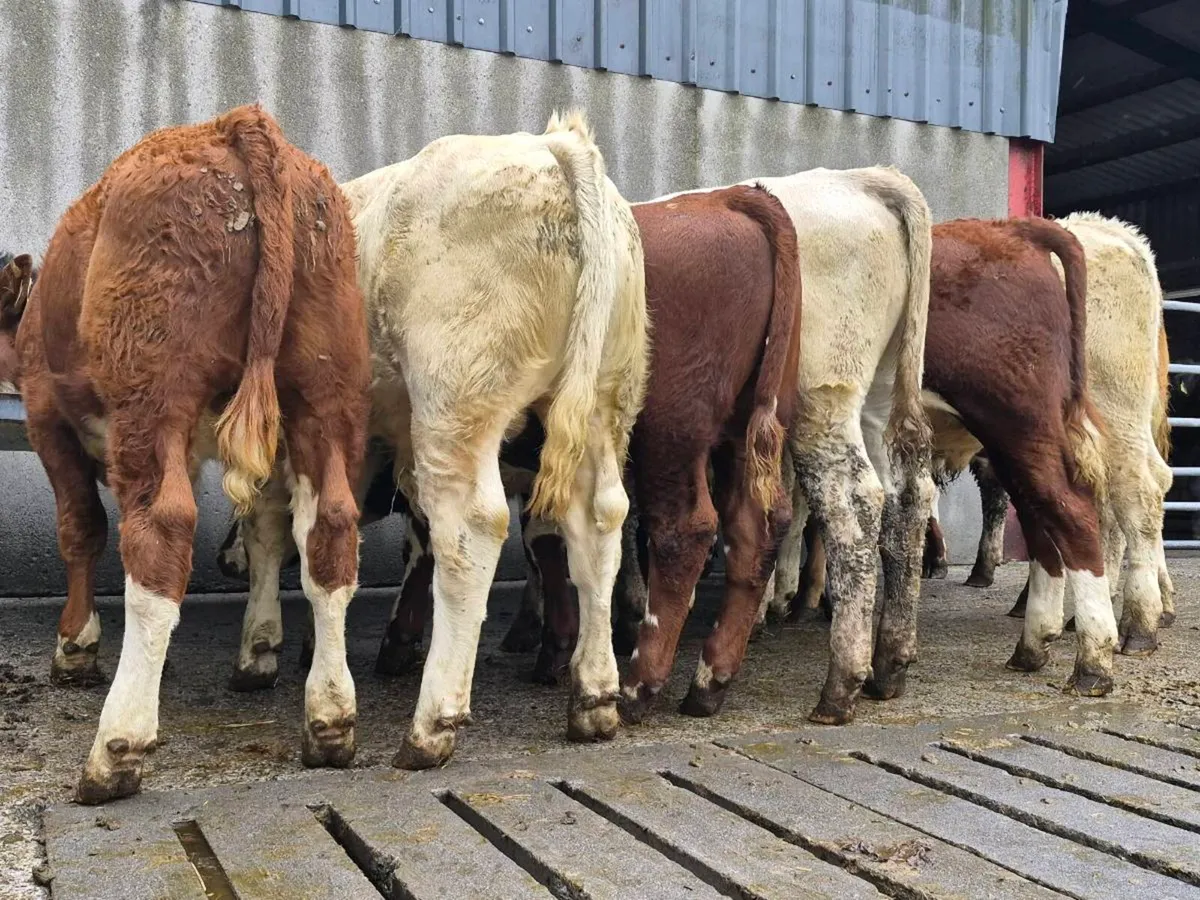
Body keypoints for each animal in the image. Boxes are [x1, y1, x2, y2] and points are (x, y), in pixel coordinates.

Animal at [4, 104, 371, 803]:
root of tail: (238, 125)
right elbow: (258, 533)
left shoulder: (46, 416)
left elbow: (80, 528)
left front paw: (76, 645)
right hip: (325, 393)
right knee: (330, 529)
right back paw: (330, 719)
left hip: (153, 398)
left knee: (161, 532)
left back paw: (117, 745)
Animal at [782, 217, 1121, 695]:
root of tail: (1013, 229)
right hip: (1014, 440)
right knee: (1040, 517)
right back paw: (1033, 645)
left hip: (1016, 417)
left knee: (1072, 510)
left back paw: (1093, 662)